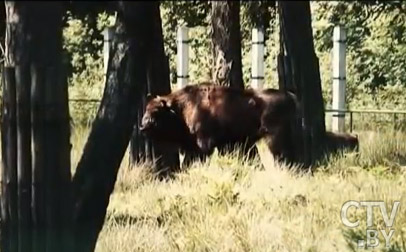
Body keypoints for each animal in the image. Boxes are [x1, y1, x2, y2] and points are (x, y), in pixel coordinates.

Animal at [140, 82, 298, 168]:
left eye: (156, 112)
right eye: (145, 109)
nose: (143, 126)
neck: (181, 107)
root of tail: (290, 97)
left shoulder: (204, 145)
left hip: (274, 138)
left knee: (283, 156)